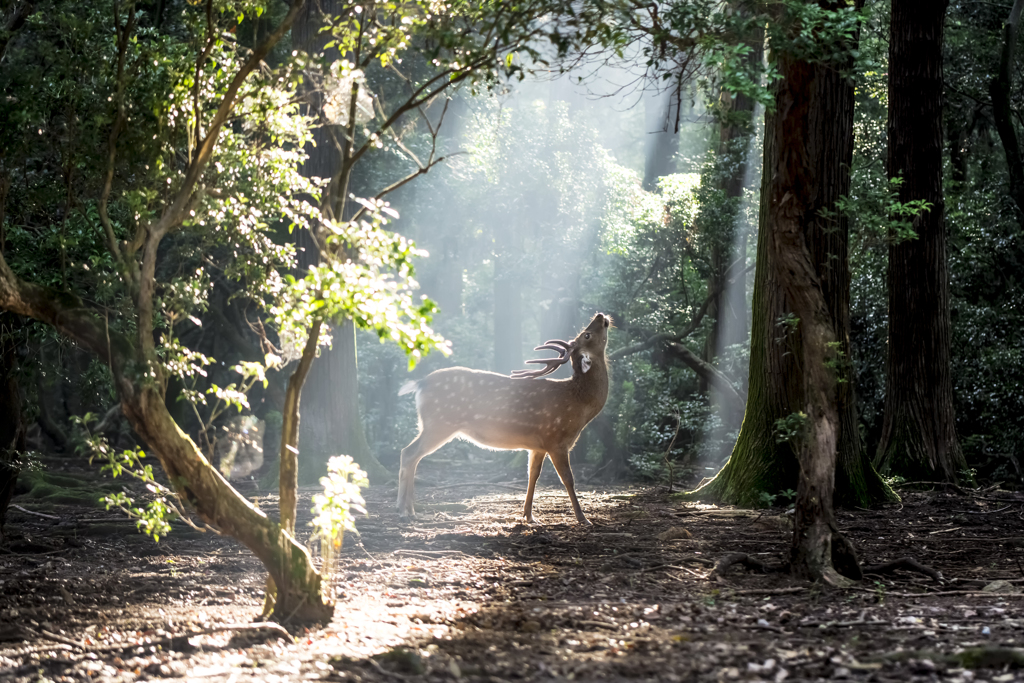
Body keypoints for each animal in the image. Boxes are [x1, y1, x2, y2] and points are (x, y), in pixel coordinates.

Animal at [395, 313, 610, 528]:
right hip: (439, 423)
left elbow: (533, 475)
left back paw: (409, 510)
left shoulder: (539, 445)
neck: (579, 405)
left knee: (411, 455)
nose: (601, 316)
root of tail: (420, 384)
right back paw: (404, 511)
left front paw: (529, 516)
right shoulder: (556, 439)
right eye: (587, 334)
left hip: (433, 424)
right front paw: (583, 518)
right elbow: (568, 479)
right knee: (409, 453)